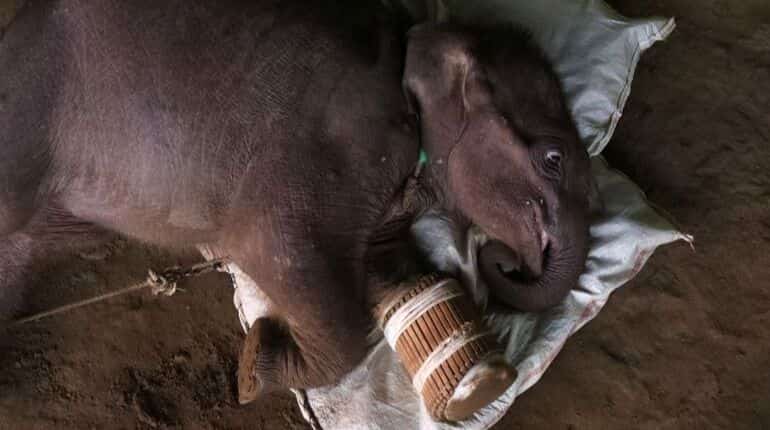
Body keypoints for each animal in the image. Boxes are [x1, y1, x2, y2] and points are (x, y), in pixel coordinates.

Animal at [0, 0, 595, 399]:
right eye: (552, 158)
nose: (506, 259)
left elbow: (383, 266)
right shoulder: (334, 144)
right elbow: (279, 255)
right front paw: (253, 370)